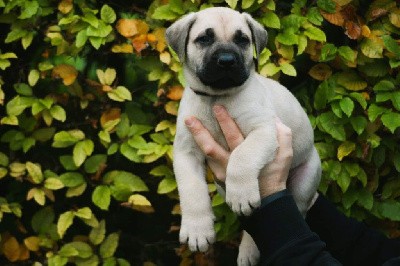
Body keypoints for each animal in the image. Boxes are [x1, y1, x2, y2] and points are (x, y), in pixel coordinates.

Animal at [166, 7, 322, 264]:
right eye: (204, 39)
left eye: (242, 40)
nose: (226, 61)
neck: (217, 98)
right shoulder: (186, 151)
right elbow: (192, 190)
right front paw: (197, 230)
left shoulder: (265, 130)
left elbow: (242, 156)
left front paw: (240, 194)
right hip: (221, 186)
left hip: (304, 182)